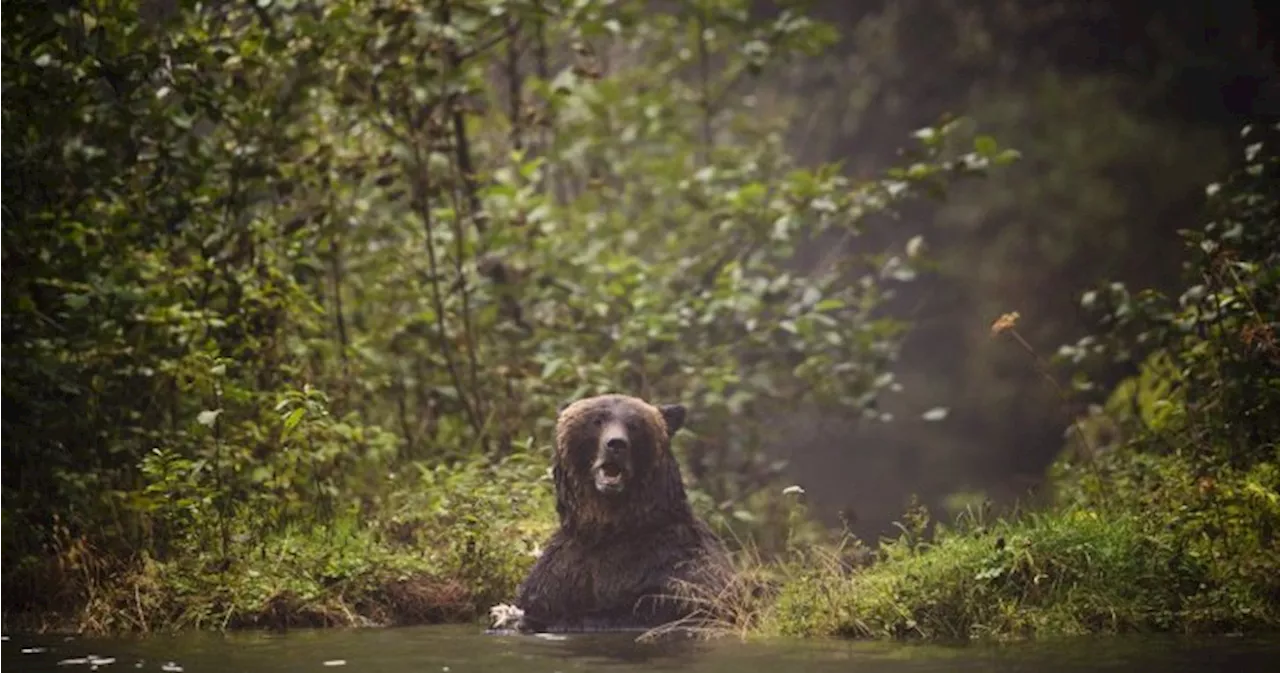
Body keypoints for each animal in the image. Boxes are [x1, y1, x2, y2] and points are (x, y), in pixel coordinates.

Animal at [501, 394, 737, 637]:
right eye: (597, 420)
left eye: (634, 425)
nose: (616, 444)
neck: (611, 528)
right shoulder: (562, 568)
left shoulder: (675, 565)